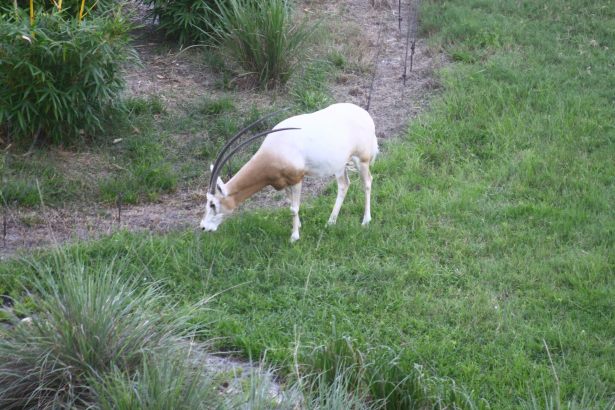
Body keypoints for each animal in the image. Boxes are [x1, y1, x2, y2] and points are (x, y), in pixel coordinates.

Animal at [200, 103, 378, 242]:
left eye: (212, 204)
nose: (202, 227)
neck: (275, 150)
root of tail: (365, 115)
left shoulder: (296, 179)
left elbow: (293, 208)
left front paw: (294, 237)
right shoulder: (282, 181)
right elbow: (290, 204)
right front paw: (298, 225)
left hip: (361, 160)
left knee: (367, 182)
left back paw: (366, 221)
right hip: (339, 165)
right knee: (344, 185)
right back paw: (331, 222)